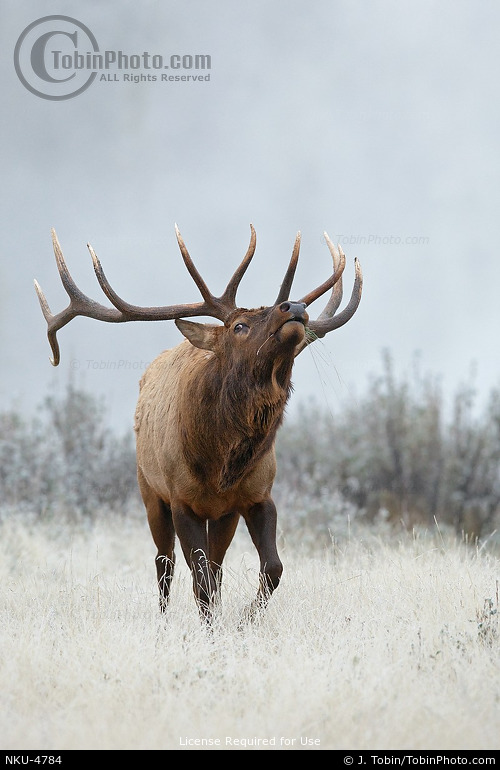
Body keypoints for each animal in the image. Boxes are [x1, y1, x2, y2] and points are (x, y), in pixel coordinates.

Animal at [35, 225, 362, 622]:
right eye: (239, 325)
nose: (296, 307)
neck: (220, 467)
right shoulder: (181, 500)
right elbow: (199, 579)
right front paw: (214, 626)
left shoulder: (256, 495)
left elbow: (270, 568)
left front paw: (245, 620)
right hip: (149, 490)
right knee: (165, 562)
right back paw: (163, 620)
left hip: (220, 515)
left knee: (214, 565)